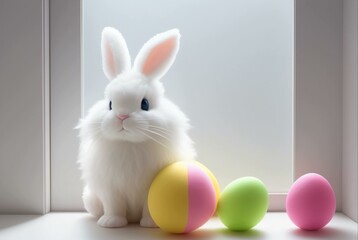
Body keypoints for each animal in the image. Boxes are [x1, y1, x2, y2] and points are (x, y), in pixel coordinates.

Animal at [77, 27, 197, 228]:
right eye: (110, 104)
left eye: (145, 104)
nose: (122, 116)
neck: (129, 144)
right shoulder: (111, 190)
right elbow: (114, 207)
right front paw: (111, 222)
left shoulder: (150, 189)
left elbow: (149, 207)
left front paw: (150, 224)